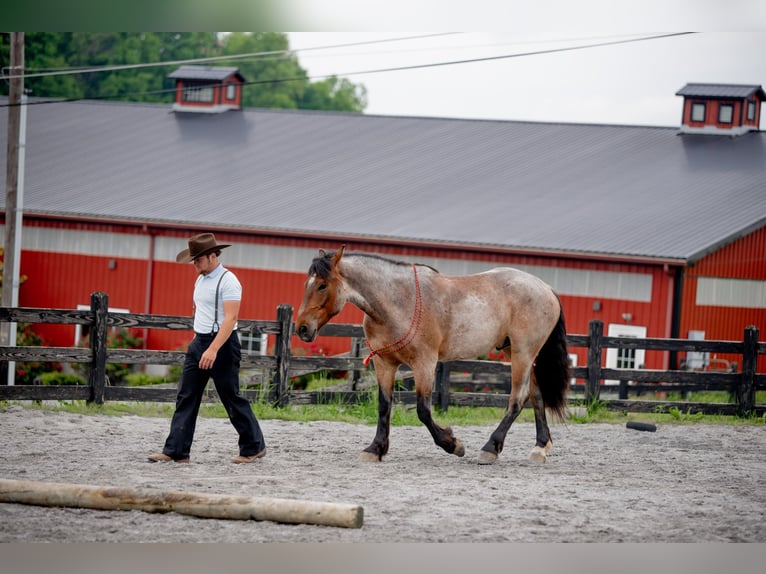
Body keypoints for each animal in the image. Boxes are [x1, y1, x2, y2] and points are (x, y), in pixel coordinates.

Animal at [296, 246, 572, 464]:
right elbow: (384, 405)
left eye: (322, 285)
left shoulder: (424, 364)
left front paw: (453, 444)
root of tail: (546, 288)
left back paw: (490, 448)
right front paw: (376, 449)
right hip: (516, 351)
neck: (399, 301)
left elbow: (423, 410)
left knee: (519, 398)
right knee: (536, 394)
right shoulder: (384, 363)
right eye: (306, 284)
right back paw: (540, 447)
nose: (302, 328)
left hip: (523, 352)